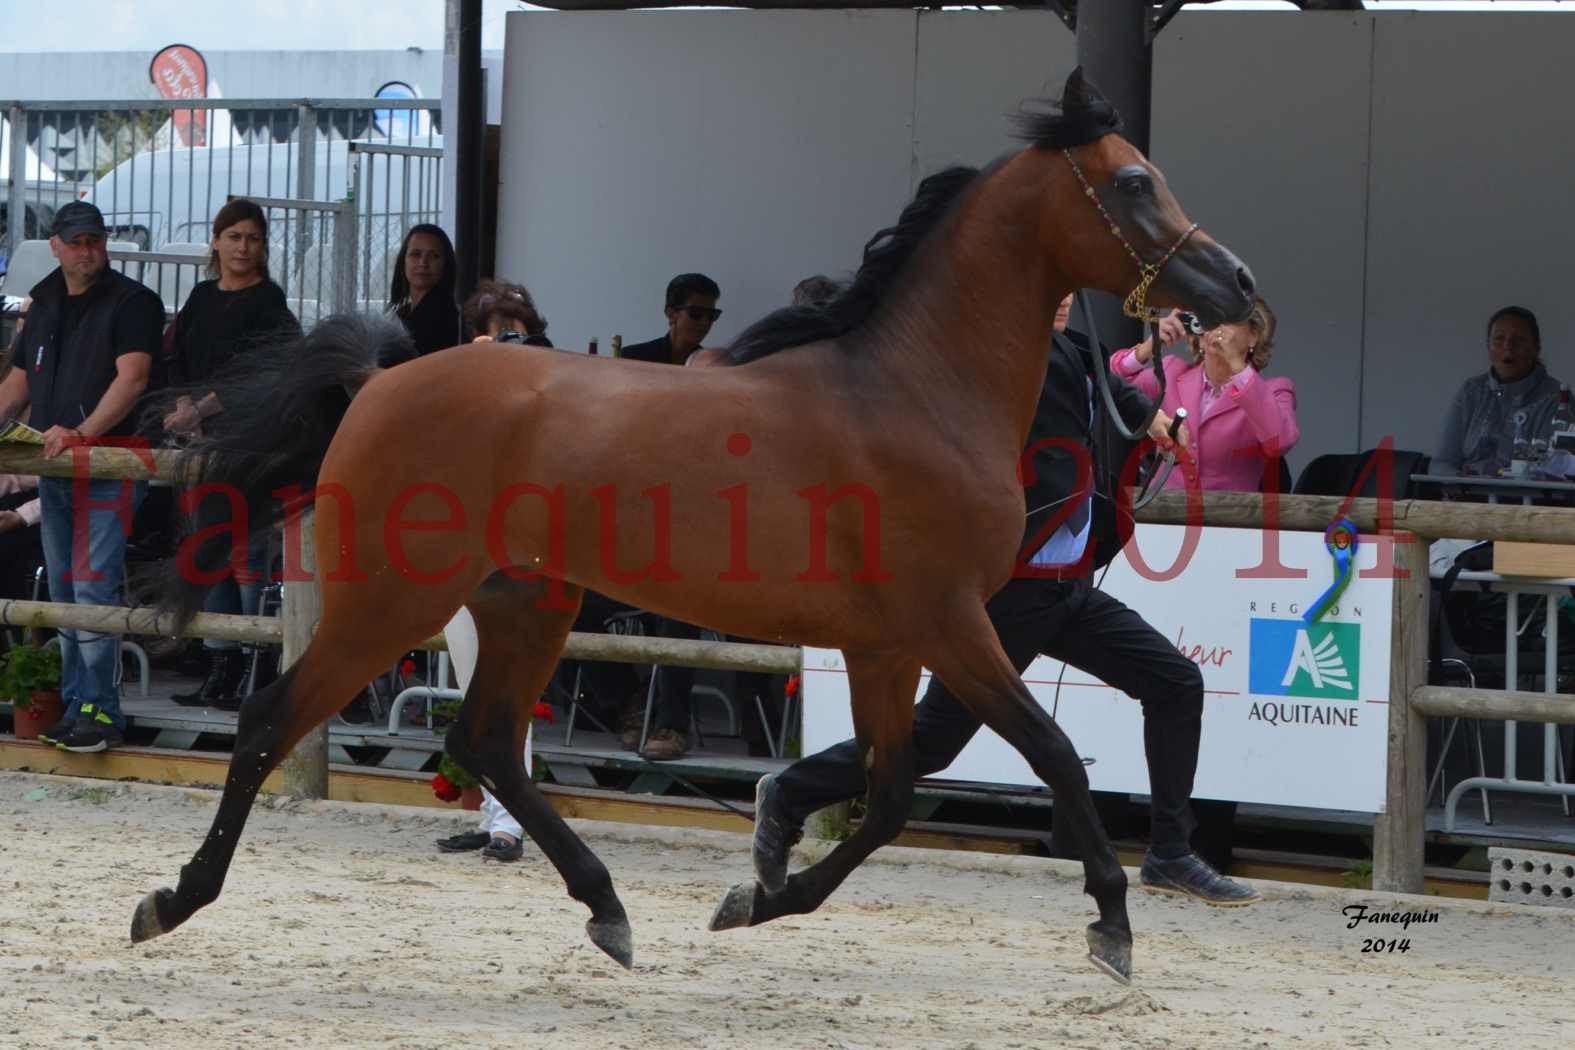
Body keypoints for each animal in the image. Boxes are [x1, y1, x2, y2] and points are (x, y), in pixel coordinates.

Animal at [135, 73, 1253, 988]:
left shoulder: (889, 644)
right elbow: (1053, 753)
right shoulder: (949, 625)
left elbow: (892, 792)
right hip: (394, 600)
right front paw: (1111, 929)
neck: (912, 392)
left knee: (485, 739)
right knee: (272, 719)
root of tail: (377, 383)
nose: (1235, 284)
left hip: (528, 601)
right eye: (1133, 180)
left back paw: (609, 911)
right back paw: (171, 901)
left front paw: (756, 898)